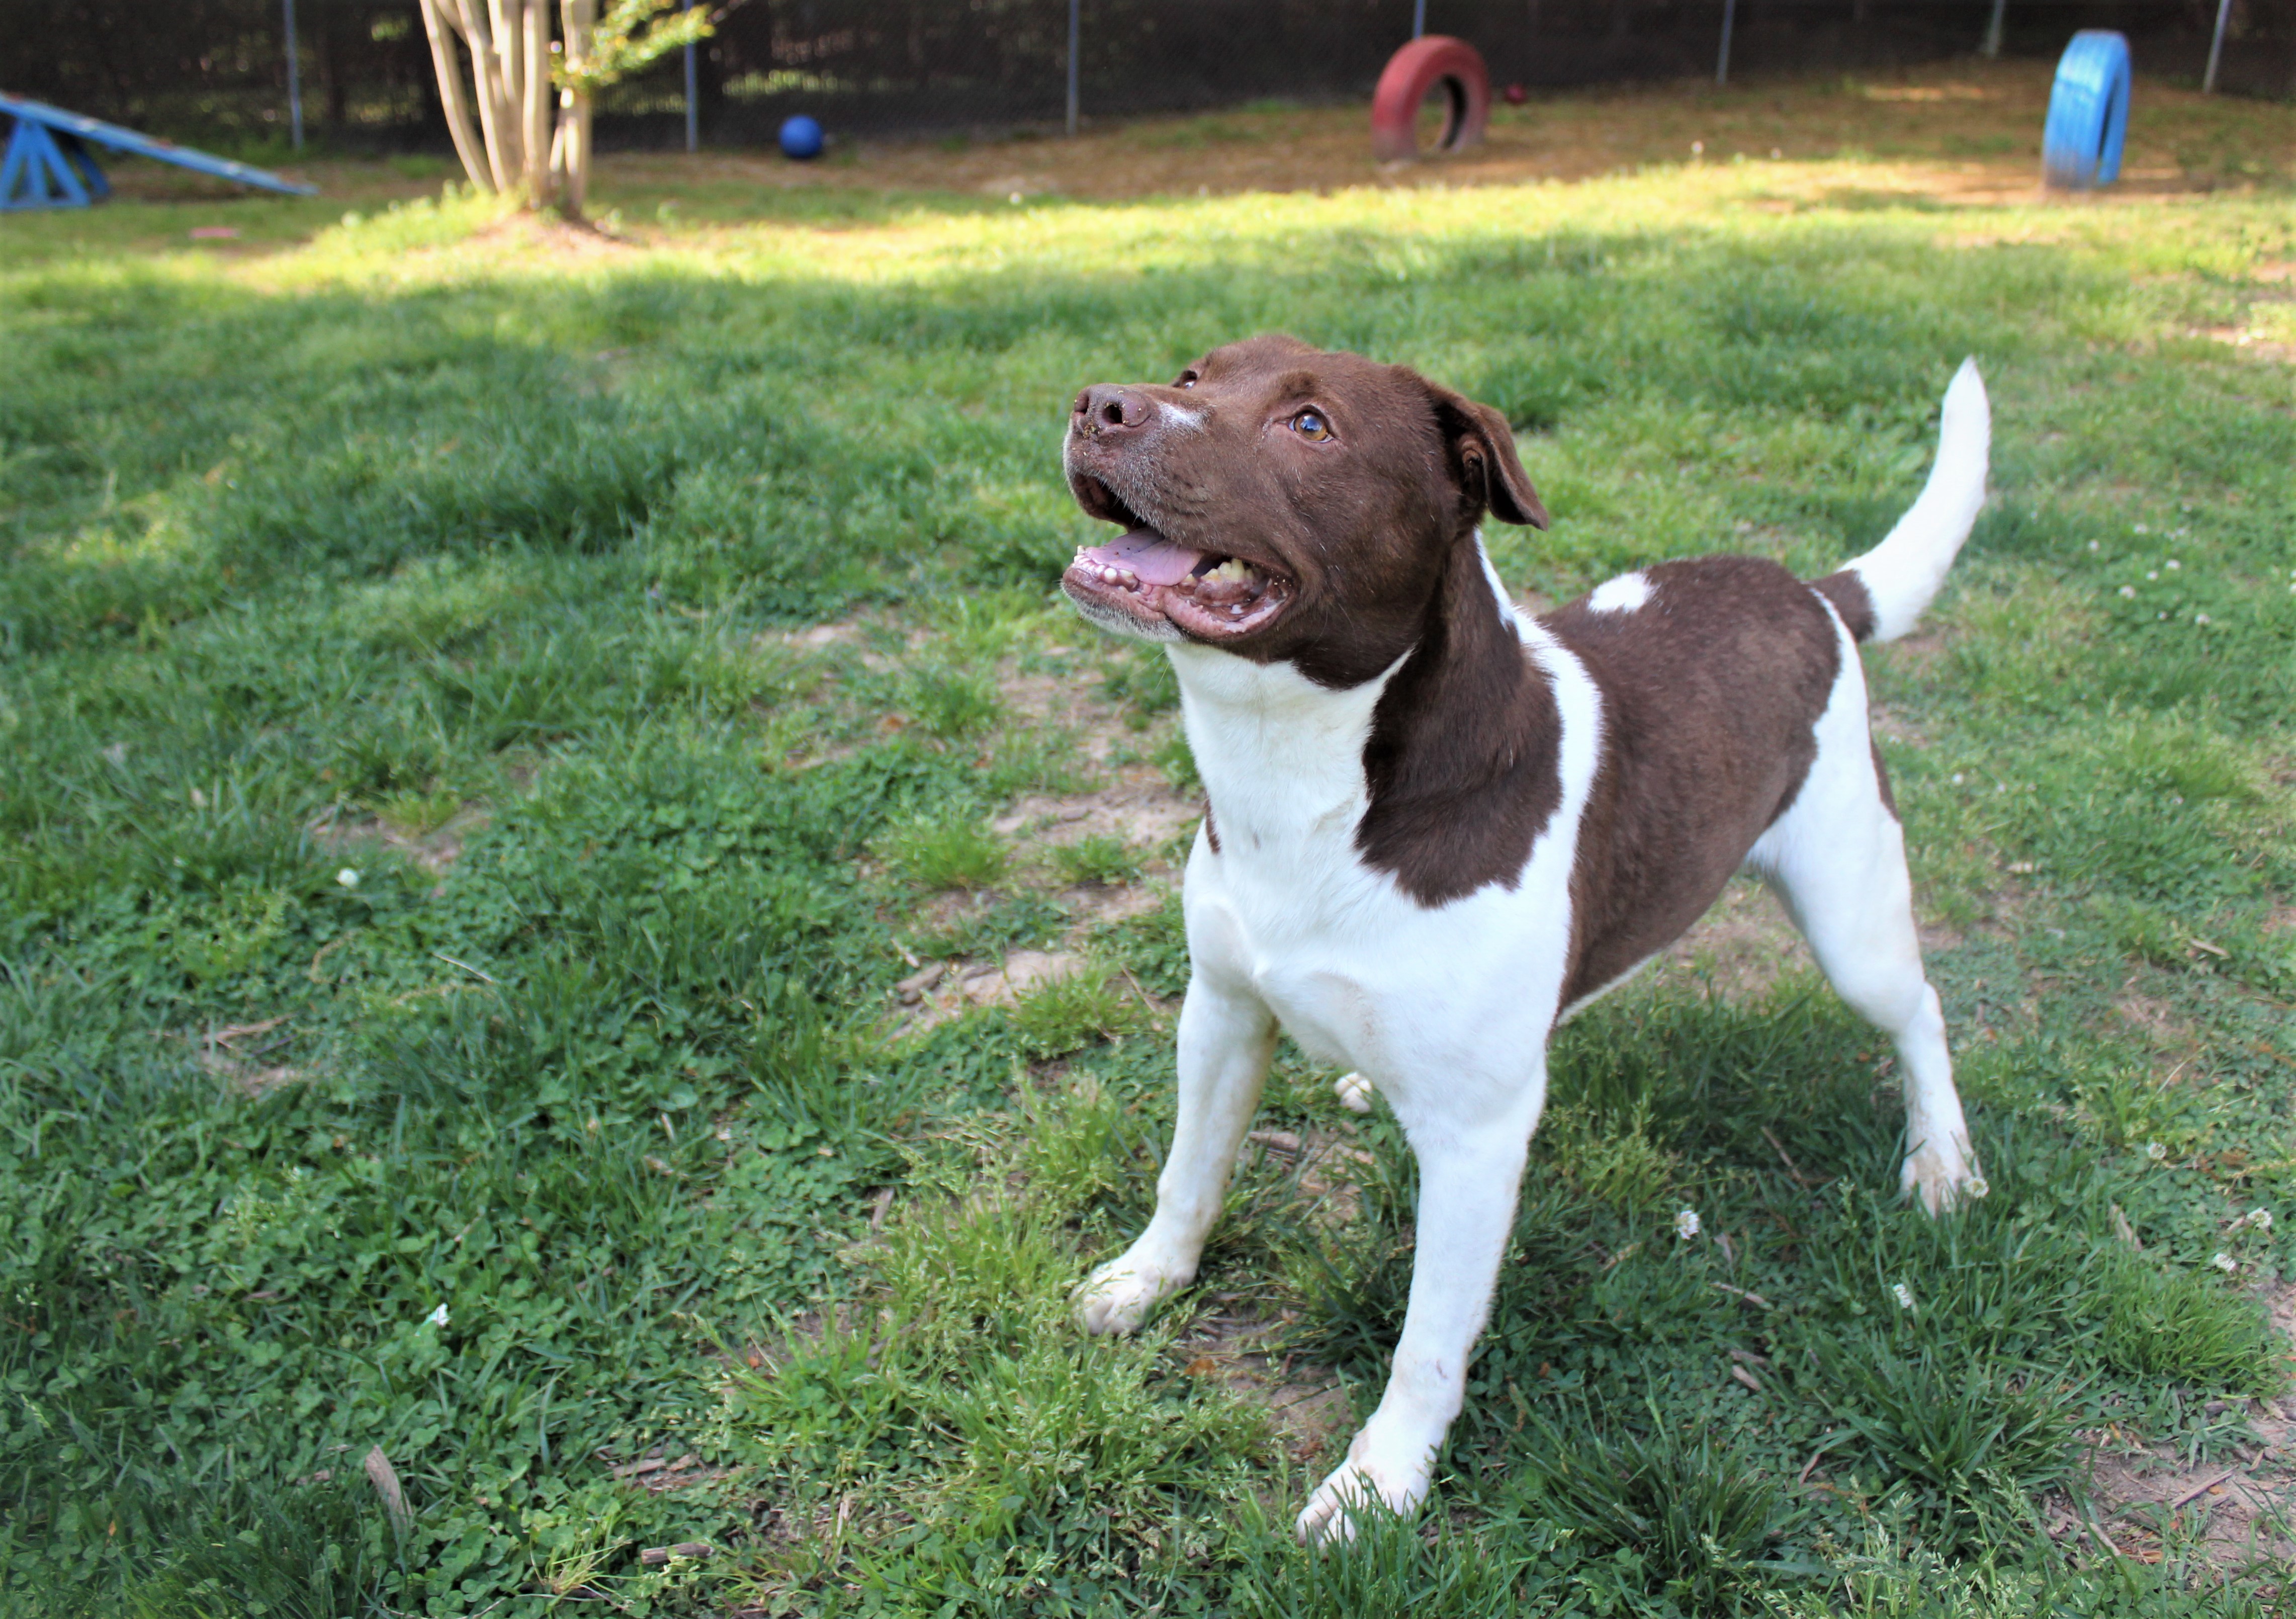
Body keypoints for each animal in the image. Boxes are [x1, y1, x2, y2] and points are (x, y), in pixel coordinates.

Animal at [1056, 337, 1993, 1543]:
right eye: (1192, 374)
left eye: (1310, 426)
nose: (1099, 404)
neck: (1307, 776)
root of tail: (1814, 594)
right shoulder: (1220, 1012)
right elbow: (1188, 1173)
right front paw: (1145, 1281)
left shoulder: (1476, 1144)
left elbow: (1426, 1341)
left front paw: (1379, 1482)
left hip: (1850, 912)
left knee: (1918, 1009)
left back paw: (1942, 1158)